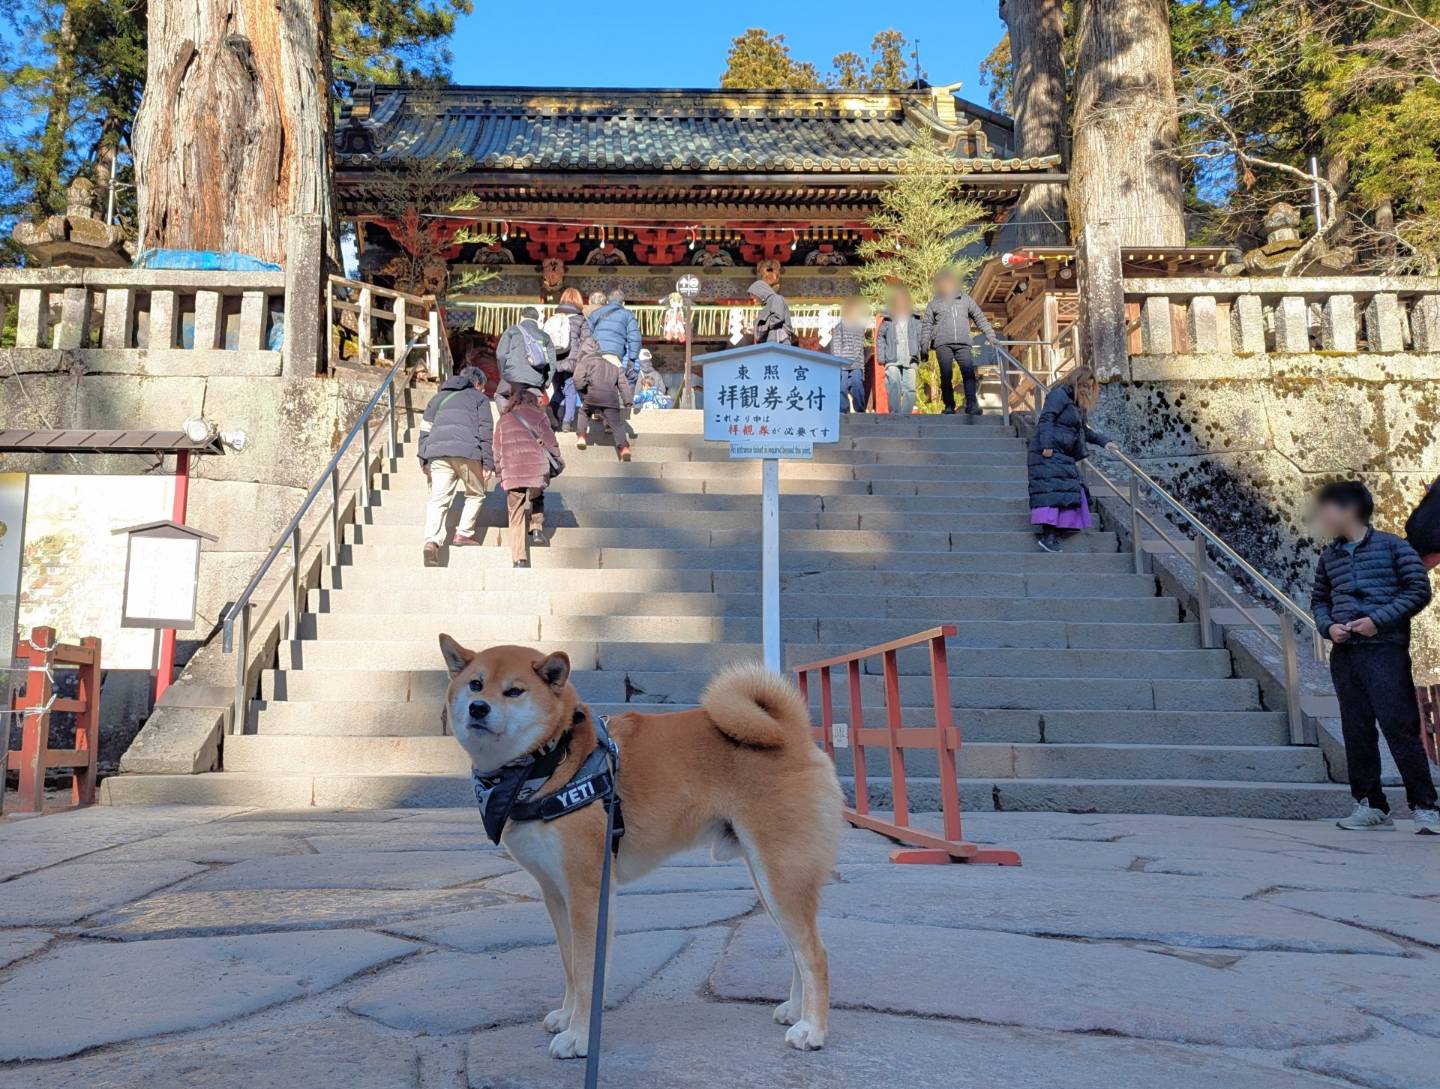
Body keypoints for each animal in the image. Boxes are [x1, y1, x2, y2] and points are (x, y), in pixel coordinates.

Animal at [439, 638, 843, 1059]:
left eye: (514, 691)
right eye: (475, 685)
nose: (478, 708)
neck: (553, 762)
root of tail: (791, 732)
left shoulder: (587, 894)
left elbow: (587, 973)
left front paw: (579, 1037)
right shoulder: (556, 894)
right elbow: (570, 967)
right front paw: (567, 1017)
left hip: (781, 874)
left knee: (814, 954)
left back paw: (812, 1030)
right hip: (769, 880)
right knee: (796, 950)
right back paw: (796, 1011)